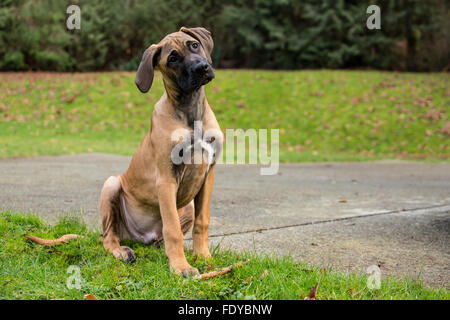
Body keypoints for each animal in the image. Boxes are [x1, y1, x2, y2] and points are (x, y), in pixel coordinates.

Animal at [100, 27, 223, 278]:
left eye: (194, 45)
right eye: (173, 59)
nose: (201, 67)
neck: (190, 112)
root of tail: (140, 238)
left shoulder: (208, 174)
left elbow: (202, 221)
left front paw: (203, 256)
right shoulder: (166, 179)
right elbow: (172, 229)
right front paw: (181, 266)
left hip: (187, 206)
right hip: (111, 184)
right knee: (109, 236)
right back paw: (121, 251)